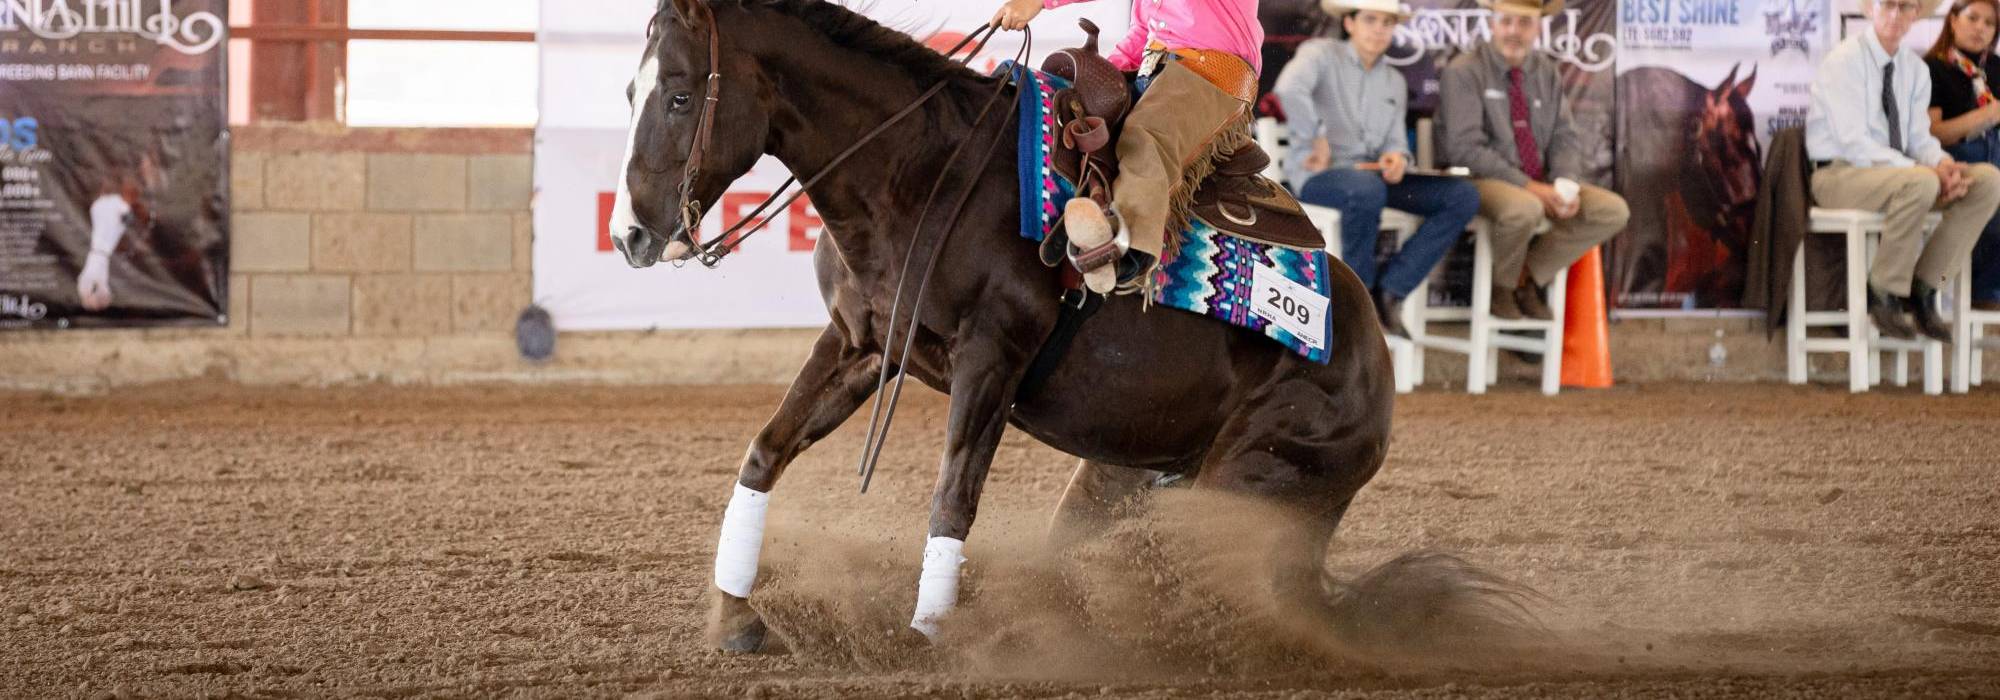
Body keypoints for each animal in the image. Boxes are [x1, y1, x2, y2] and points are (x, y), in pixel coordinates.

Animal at [616, 0, 1400, 652]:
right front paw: (736, 615)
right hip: (1123, 470)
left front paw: (927, 636)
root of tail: (1377, 365)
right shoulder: (860, 344)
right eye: (631, 93)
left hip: (1251, 479)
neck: (918, 172)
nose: (630, 235)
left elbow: (952, 500)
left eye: (680, 94)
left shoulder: (991, 359)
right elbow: (765, 452)